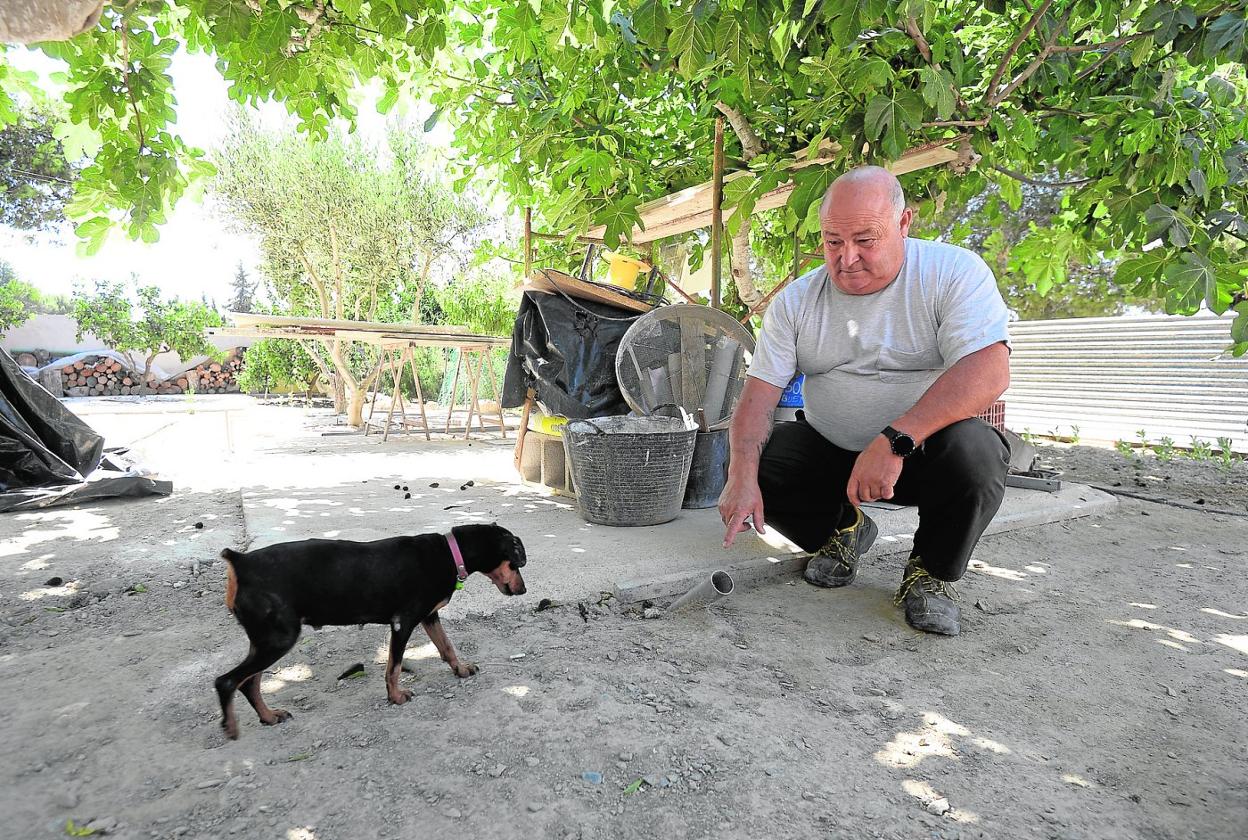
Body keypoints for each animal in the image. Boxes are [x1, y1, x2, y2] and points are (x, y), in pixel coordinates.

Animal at [214, 524, 526, 738]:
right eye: (517, 562)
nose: (523, 590)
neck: (450, 554)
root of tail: (241, 562)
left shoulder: (429, 617)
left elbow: (447, 646)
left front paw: (460, 669)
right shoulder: (403, 622)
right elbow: (394, 667)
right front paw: (396, 697)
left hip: (266, 639)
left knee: (249, 682)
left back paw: (269, 716)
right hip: (279, 638)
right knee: (227, 681)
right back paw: (231, 727)